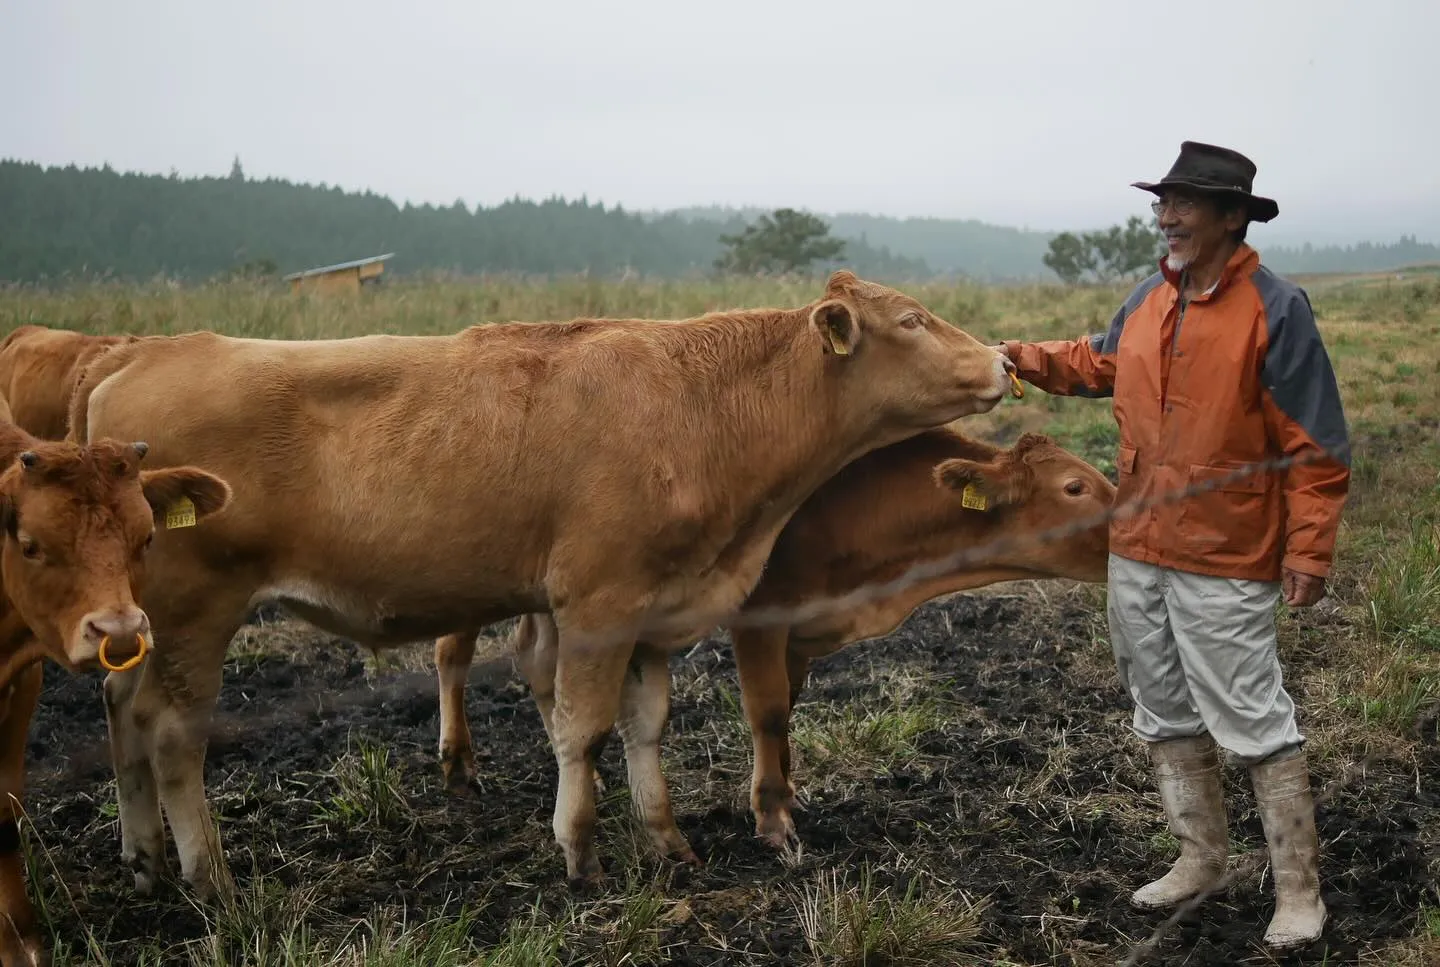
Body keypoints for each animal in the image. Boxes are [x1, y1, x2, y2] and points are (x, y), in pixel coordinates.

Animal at [64, 270, 1013, 892]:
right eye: (912, 318)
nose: (1005, 359)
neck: (699, 405)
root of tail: (136, 357)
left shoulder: (654, 608)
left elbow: (645, 726)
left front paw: (666, 839)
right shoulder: (597, 601)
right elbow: (582, 729)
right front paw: (582, 850)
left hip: (153, 626)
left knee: (123, 714)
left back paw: (143, 858)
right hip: (197, 612)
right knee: (171, 733)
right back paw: (210, 876)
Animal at [443, 431, 1117, 846]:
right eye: (1075, 488)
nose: (1133, 513)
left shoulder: (800, 632)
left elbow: (787, 710)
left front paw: (790, 794)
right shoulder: (761, 617)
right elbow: (766, 712)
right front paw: (771, 816)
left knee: (537, 660)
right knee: (455, 652)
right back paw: (459, 764)